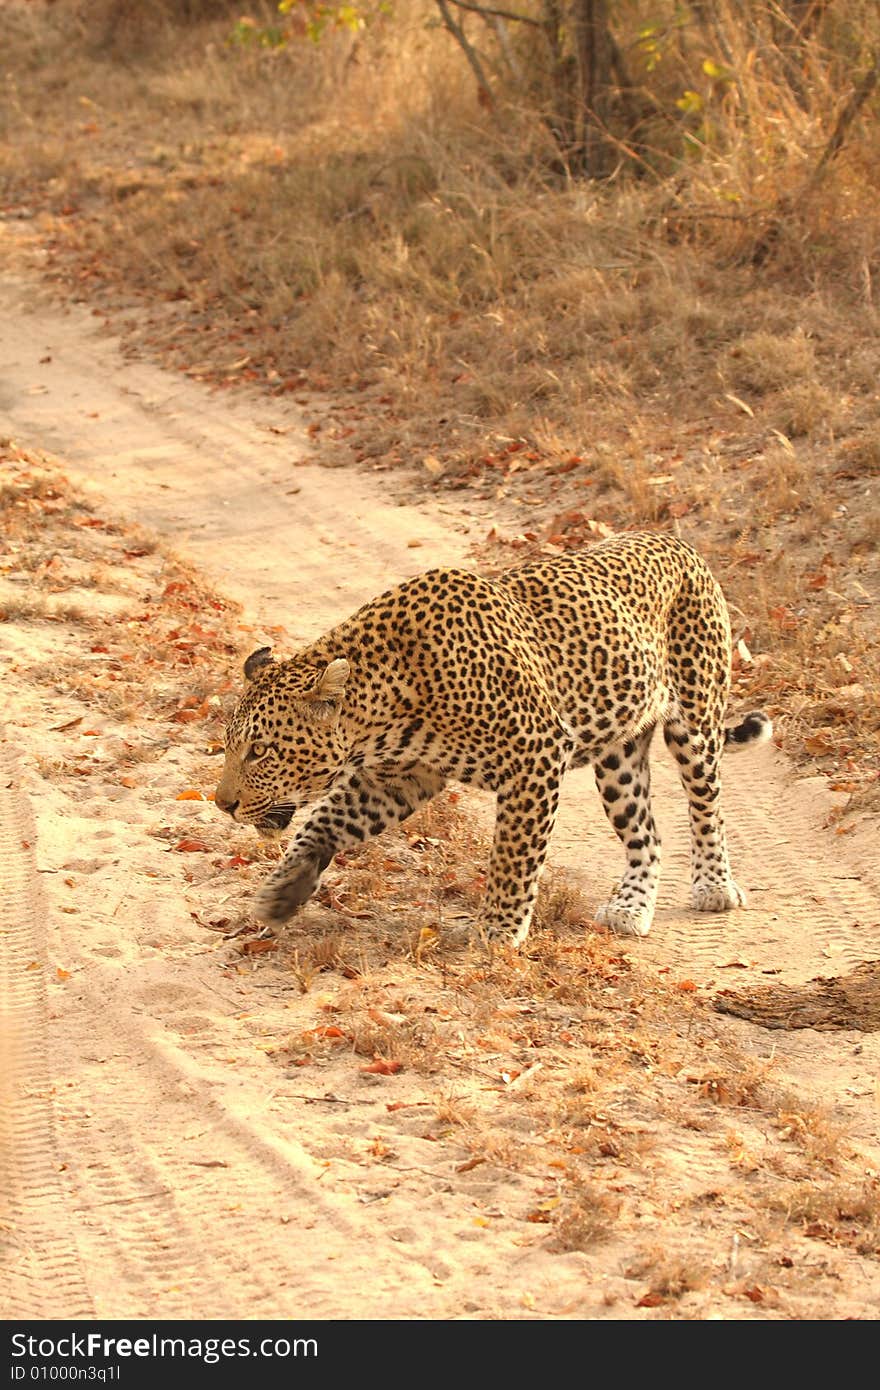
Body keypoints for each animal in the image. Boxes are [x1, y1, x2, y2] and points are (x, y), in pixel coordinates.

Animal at [214, 528, 767, 945]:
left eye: (261, 750)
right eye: (232, 746)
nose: (223, 805)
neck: (382, 708)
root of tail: (678, 541)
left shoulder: (537, 754)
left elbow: (513, 855)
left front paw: (498, 930)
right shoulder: (399, 778)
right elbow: (320, 825)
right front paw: (282, 893)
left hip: (695, 722)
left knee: (706, 809)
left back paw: (716, 887)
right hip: (619, 756)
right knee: (646, 834)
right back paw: (630, 908)